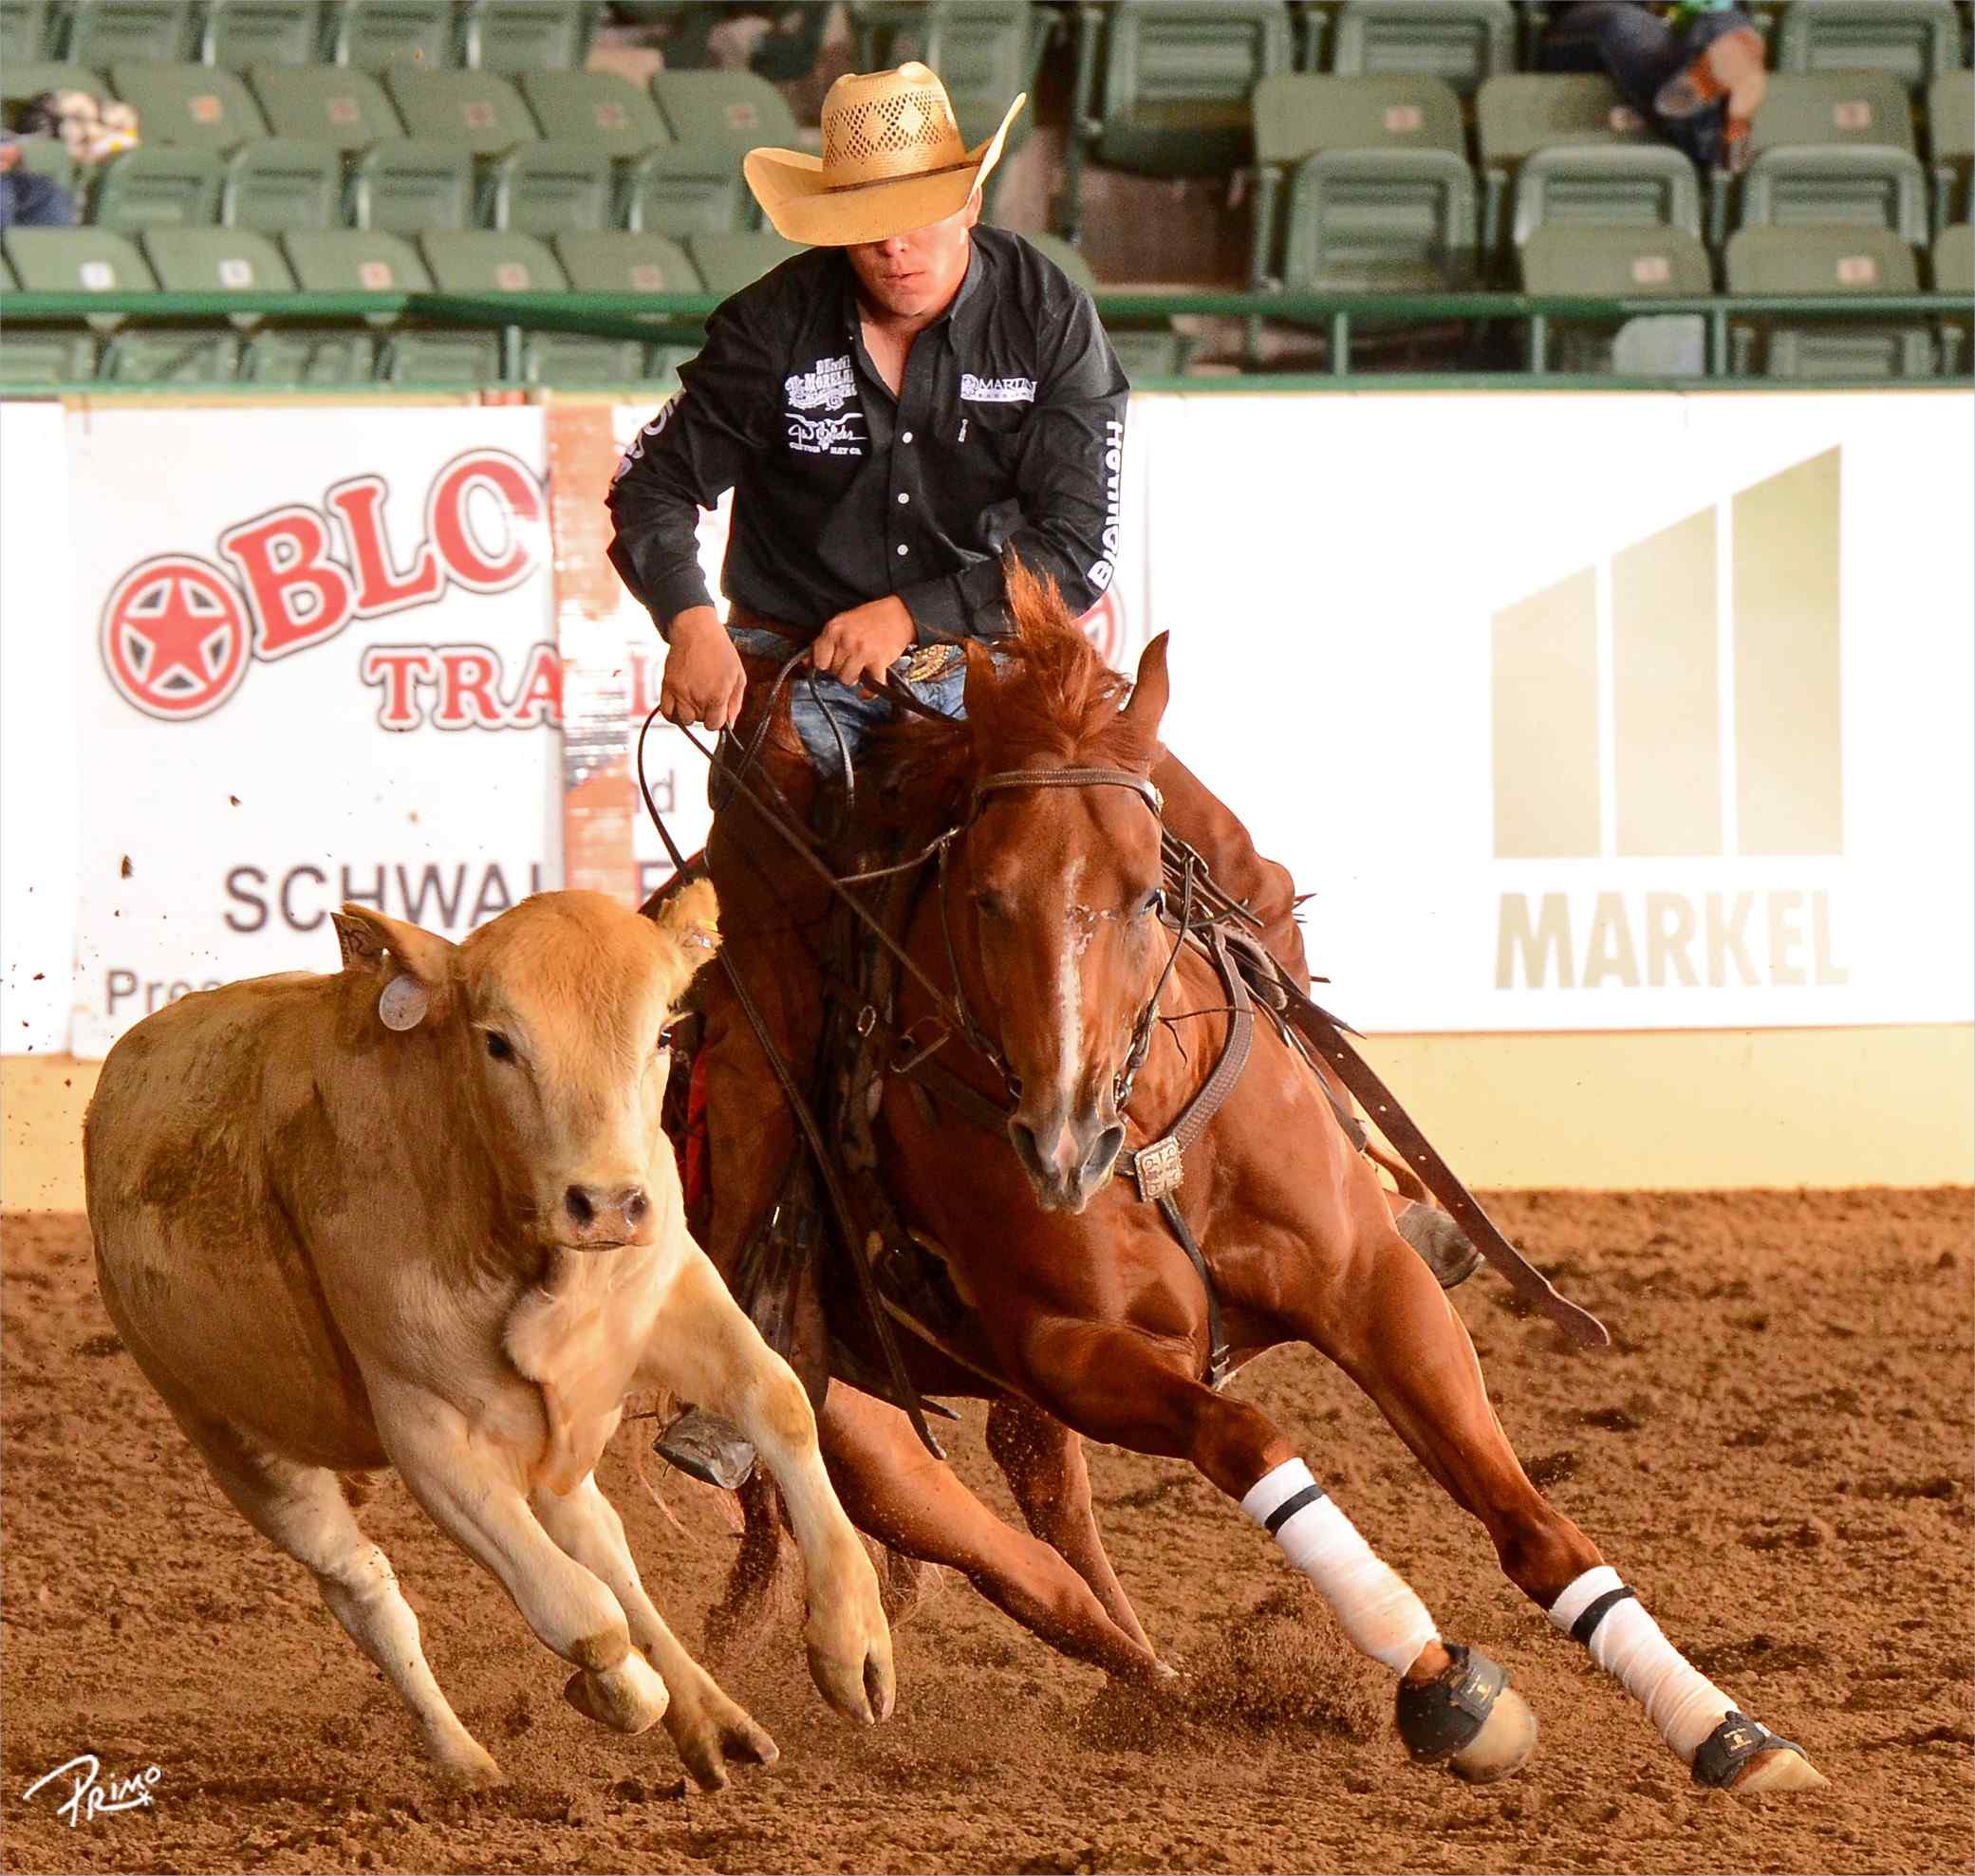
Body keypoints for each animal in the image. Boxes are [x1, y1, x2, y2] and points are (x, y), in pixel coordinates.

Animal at [706, 576, 1817, 1809]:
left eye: (1148, 895)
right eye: (983, 897)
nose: (1060, 1142)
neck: (1149, 1131)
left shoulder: (1370, 1285)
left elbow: (1528, 1522)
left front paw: (1723, 1727)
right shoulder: (1072, 1350)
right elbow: (1247, 1441)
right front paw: (1443, 1684)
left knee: (1049, 1514)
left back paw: (1159, 1683)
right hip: (856, 1426)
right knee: (1011, 1563)